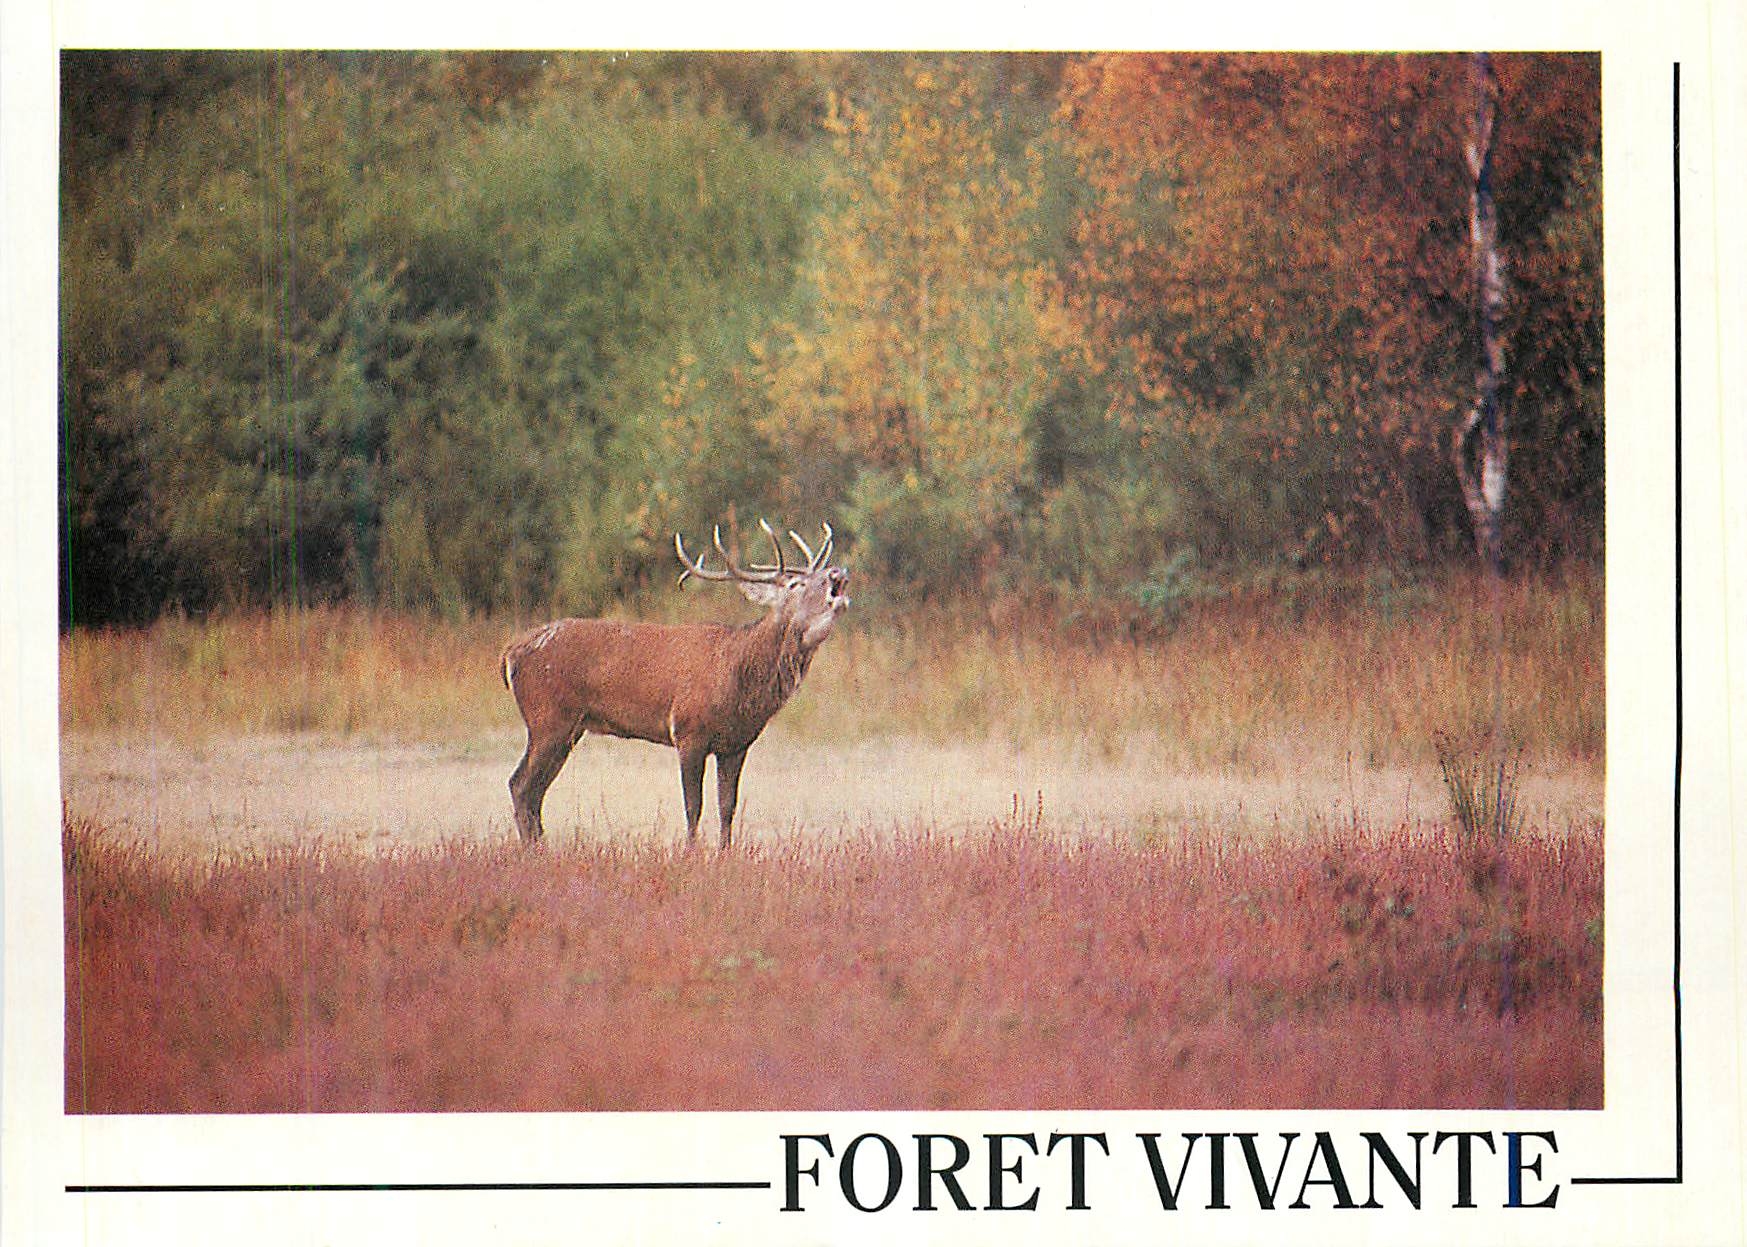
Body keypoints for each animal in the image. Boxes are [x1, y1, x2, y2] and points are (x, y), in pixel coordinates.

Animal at [500, 520, 850, 847]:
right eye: (795, 583)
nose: (838, 571)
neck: (738, 680)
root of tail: (510, 653)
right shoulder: (687, 731)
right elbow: (693, 806)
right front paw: (691, 852)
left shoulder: (736, 744)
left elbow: (727, 807)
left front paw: (726, 854)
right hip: (548, 719)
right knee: (520, 784)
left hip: (568, 728)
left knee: (533, 790)